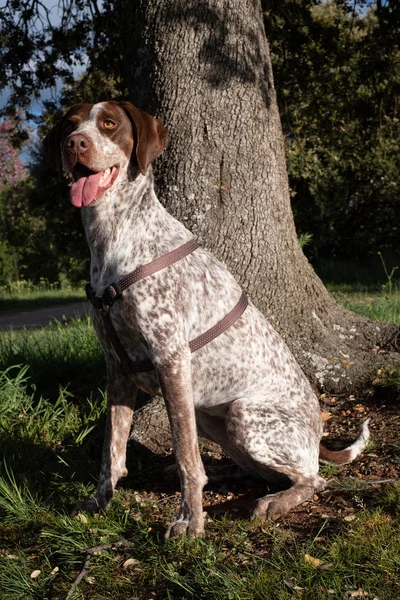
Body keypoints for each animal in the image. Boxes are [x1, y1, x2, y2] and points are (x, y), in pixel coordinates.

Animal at [43, 102, 368, 540]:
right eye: (70, 126)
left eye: (109, 124)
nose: (74, 144)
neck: (113, 238)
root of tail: (318, 435)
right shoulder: (117, 368)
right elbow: (113, 451)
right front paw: (99, 503)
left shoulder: (170, 357)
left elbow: (185, 455)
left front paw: (190, 520)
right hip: (214, 418)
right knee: (257, 471)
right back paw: (224, 475)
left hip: (244, 415)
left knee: (312, 479)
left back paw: (274, 501)